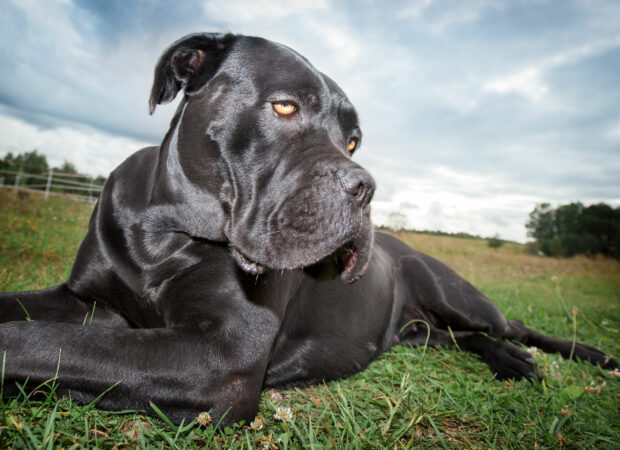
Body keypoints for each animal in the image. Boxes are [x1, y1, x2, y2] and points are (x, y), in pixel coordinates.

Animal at [0, 32, 616, 426]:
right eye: (284, 107)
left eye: (353, 142)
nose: (366, 189)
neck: (164, 234)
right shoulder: (84, 298)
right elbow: (35, 319)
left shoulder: (220, 355)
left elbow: (44, 342)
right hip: (420, 328)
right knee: (462, 339)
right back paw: (508, 361)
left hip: (456, 295)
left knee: (513, 327)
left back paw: (576, 356)